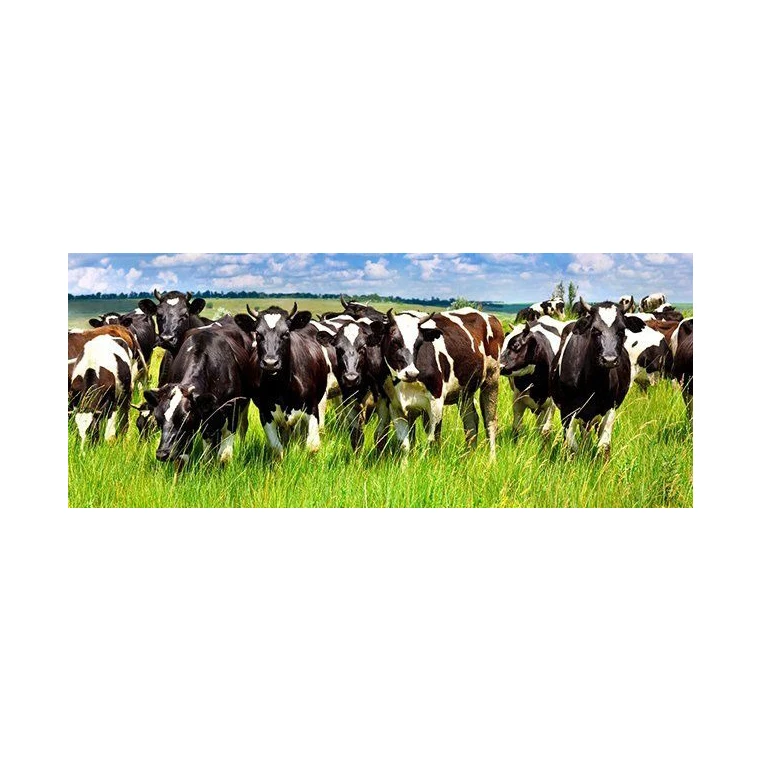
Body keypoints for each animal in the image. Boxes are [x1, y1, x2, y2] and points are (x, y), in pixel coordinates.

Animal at [142, 318, 252, 467]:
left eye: (184, 419)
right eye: (158, 419)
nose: (162, 454)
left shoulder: (232, 414)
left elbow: (224, 457)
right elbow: (188, 457)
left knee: (242, 427)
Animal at [234, 303, 329, 457]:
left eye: (286, 333)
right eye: (258, 334)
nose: (270, 363)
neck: (282, 387)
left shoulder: (311, 408)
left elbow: (312, 446)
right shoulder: (265, 413)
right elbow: (276, 449)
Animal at [376, 307, 504, 460]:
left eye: (419, 343)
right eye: (394, 341)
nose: (411, 373)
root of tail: (490, 316)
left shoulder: (436, 402)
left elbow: (432, 439)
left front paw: (429, 461)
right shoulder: (395, 406)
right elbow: (404, 445)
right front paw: (404, 466)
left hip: (492, 379)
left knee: (490, 421)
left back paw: (492, 459)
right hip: (465, 392)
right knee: (471, 421)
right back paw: (468, 456)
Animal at [550, 299, 646, 457]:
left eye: (622, 330)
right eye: (594, 330)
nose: (609, 359)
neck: (593, 384)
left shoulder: (610, 408)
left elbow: (604, 446)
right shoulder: (567, 411)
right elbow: (572, 447)